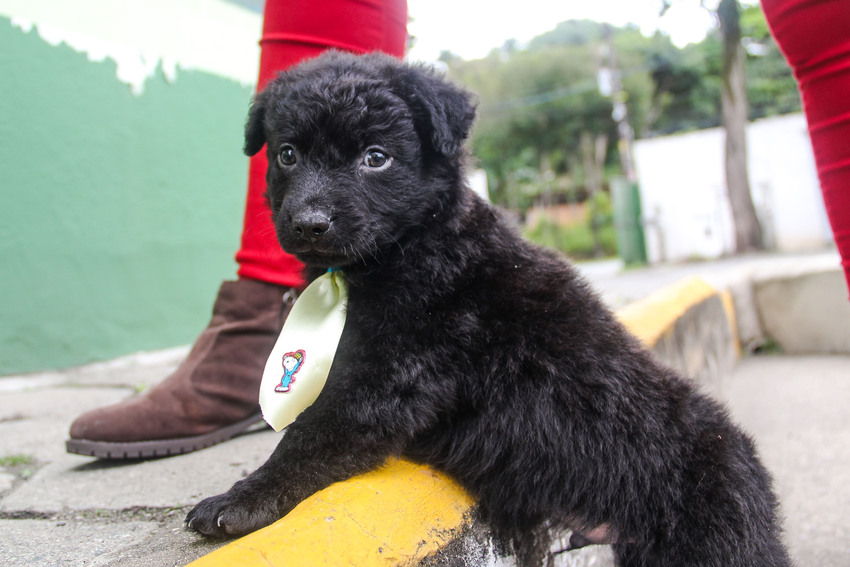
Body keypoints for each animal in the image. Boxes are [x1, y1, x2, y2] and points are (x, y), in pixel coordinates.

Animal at [186, 51, 788, 564]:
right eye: (287, 154)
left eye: (375, 158)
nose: (309, 224)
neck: (410, 246)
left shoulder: (387, 379)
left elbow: (308, 433)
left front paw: (242, 499)